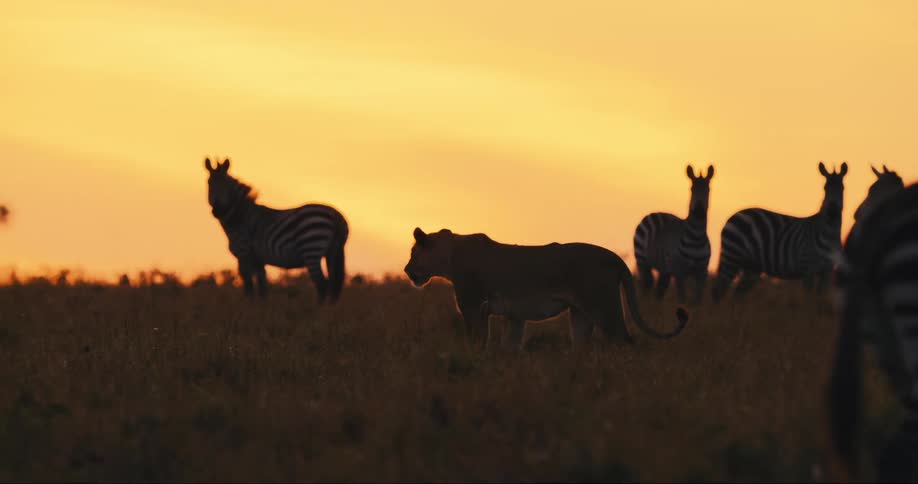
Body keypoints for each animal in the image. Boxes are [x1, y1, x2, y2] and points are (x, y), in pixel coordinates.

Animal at [205, 158, 349, 303]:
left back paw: (319, 309)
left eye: (225, 184)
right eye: (209, 183)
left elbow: (249, 287)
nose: (217, 211)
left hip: (311, 248)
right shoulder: (258, 261)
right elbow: (263, 288)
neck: (240, 216)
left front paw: (247, 305)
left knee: (322, 284)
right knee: (332, 284)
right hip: (333, 252)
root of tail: (336, 215)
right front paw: (261, 307)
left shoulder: (244, 254)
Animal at [404, 228, 689, 350]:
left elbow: (477, 340)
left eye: (413, 253)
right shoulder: (514, 316)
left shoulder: (473, 307)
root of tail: (614, 257)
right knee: (581, 345)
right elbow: (510, 346)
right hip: (580, 315)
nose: (406, 270)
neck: (449, 257)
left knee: (625, 340)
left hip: (604, 307)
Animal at [633, 164, 714, 304]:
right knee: (646, 286)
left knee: (659, 291)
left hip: (664, 270)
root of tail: (654, 213)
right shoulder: (679, 271)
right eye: (692, 189)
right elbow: (682, 299)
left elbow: (698, 301)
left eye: (708, 189)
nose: (699, 212)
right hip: (642, 262)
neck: (696, 237)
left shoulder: (702, 272)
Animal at [711, 162, 847, 302]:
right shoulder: (807, 267)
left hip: (751, 266)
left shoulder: (827, 271)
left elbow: (820, 298)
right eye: (825, 188)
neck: (829, 233)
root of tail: (733, 216)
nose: (832, 212)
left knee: (737, 295)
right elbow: (807, 297)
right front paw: (806, 308)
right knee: (719, 290)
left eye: (842, 188)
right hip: (732, 255)